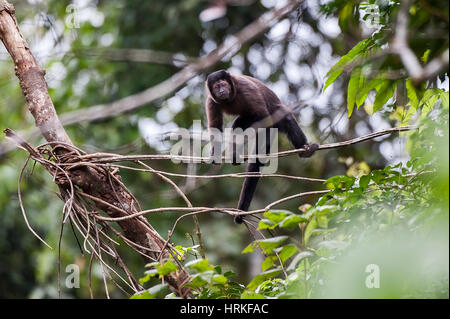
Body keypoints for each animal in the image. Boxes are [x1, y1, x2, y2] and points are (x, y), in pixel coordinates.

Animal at [206, 70, 318, 225]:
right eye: (216, 87)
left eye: (223, 84)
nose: (221, 91)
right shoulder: (211, 101)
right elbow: (215, 127)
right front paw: (214, 153)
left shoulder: (247, 90)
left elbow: (263, 116)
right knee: (240, 124)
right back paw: (235, 152)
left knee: (280, 117)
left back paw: (303, 150)